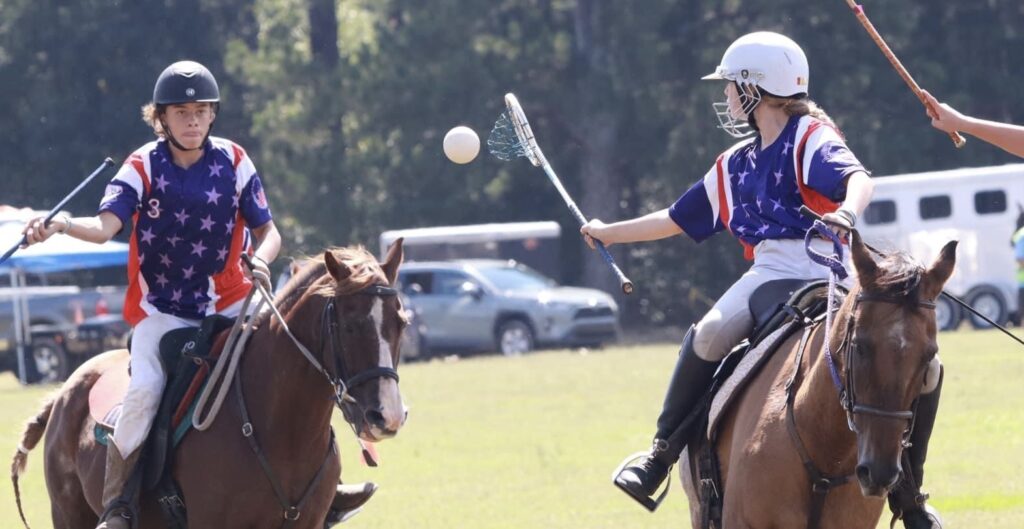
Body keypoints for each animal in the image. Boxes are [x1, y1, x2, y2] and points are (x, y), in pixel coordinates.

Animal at [12, 241, 409, 523]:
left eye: (401, 323)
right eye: (351, 325)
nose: (387, 416)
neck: (281, 429)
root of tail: (65, 390)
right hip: (69, 513)